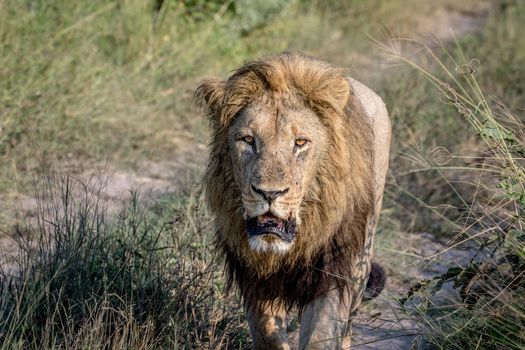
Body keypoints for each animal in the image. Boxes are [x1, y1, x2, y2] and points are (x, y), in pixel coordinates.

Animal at [194, 52, 390, 350]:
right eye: (248, 140)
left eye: (300, 142)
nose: (269, 193)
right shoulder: (256, 275)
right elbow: (268, 335)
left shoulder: (332, 269)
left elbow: (321, 337)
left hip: (362, 259)